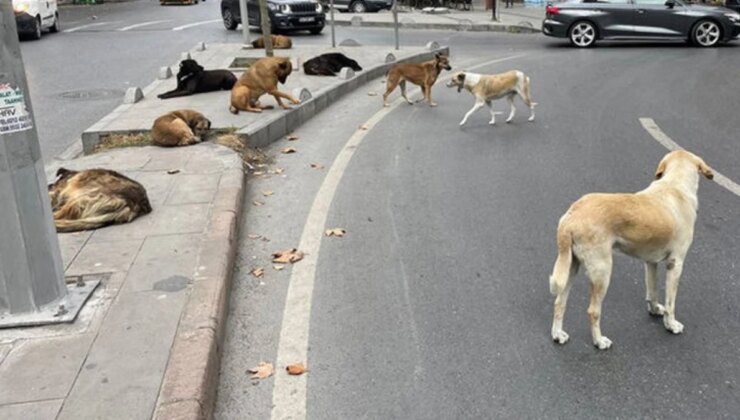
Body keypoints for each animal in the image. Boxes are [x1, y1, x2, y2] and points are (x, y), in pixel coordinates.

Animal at [548, 151, 712, 352]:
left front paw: (654, 310)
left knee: (559, 302)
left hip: (570, 267)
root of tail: (571, 216)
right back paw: (599, 341)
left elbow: (652, 290)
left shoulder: (651, 262)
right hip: (602, 272)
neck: (675, 185)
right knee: (593, 311)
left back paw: (557, 334)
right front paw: (671, 325)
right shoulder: (676, 264)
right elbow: (671, 302)